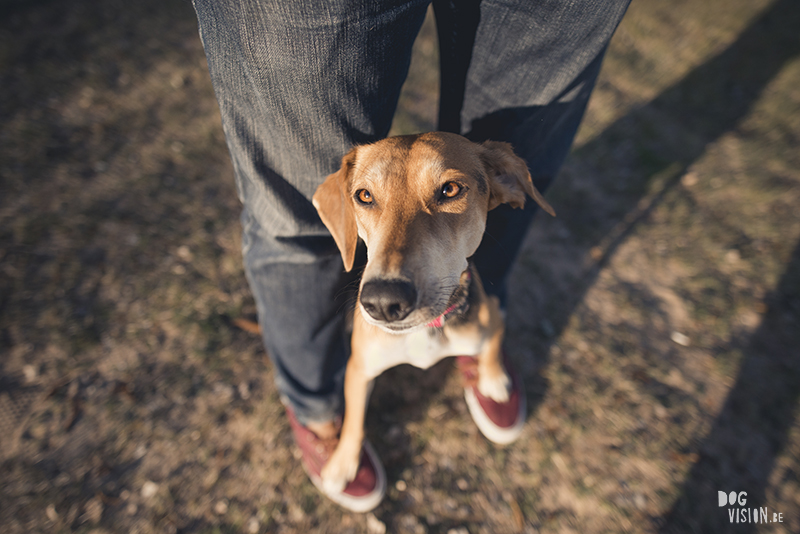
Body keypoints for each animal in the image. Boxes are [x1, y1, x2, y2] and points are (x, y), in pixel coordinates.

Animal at [310, 132, 552, 496]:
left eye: (450, 190)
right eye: (364, 196)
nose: (383, 301)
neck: (426, 328)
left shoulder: (490, 318)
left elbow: (493, 346)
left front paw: (494, 377)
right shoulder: (358, 368)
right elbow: (353, 420)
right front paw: (342, 463)